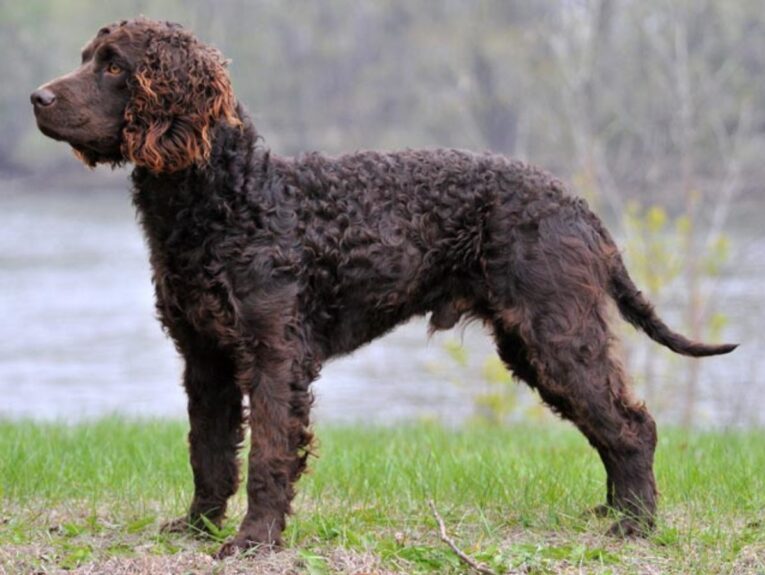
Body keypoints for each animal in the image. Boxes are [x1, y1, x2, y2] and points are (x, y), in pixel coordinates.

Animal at [29, 19, 736, 560]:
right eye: (87, 59)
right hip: (534, 343)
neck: (228, 199)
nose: (36, 97)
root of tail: (577, 204)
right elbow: (210, 453)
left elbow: (268, 458)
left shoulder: (274, 356)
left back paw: (635, 527)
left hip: (556, 331)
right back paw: (613, 513)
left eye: (115, 67)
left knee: (632, 426)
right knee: (612, 428)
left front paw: (254, 540)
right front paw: (197, 527)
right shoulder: (205, 358)